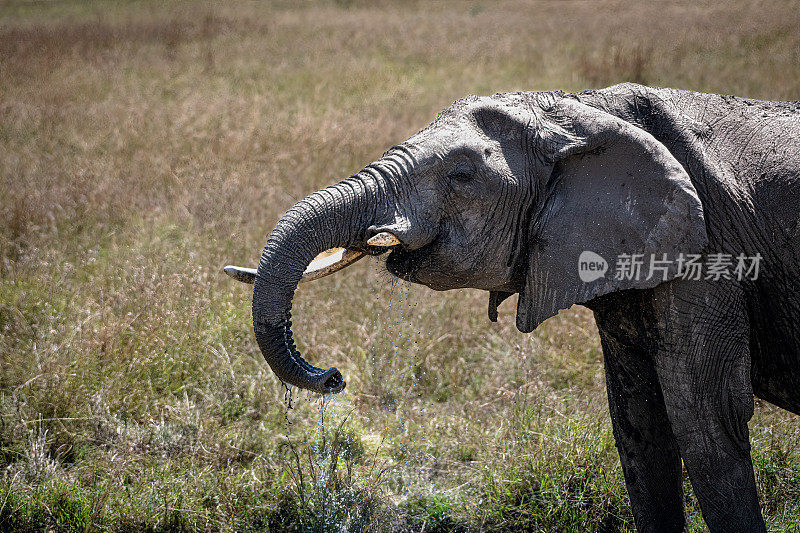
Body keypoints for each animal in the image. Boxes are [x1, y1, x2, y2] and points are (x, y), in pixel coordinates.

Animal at [225, 83, 800, 528]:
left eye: (461, 175)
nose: (333, 377)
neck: (583, 108)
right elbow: (640, 423)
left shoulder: (708, 260)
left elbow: (706, 420)